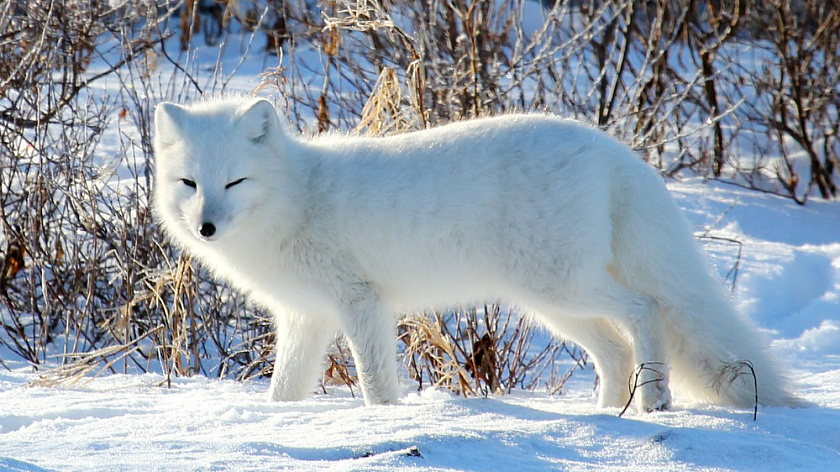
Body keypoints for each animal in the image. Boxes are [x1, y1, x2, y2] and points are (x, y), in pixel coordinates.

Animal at [154, 97, 796, 412]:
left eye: (235, 182)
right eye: (190, 183)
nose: (207, 227)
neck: (297, 197)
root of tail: (611, 150)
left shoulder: (361, 303)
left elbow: (375, 382)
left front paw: (383, 422)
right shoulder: (305, 316)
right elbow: (283, 389)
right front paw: (276, 422)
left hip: (562, 288)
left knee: (647, 310)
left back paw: (655, 400)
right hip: (552, 303)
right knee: (615, 349)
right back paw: (601, 417)